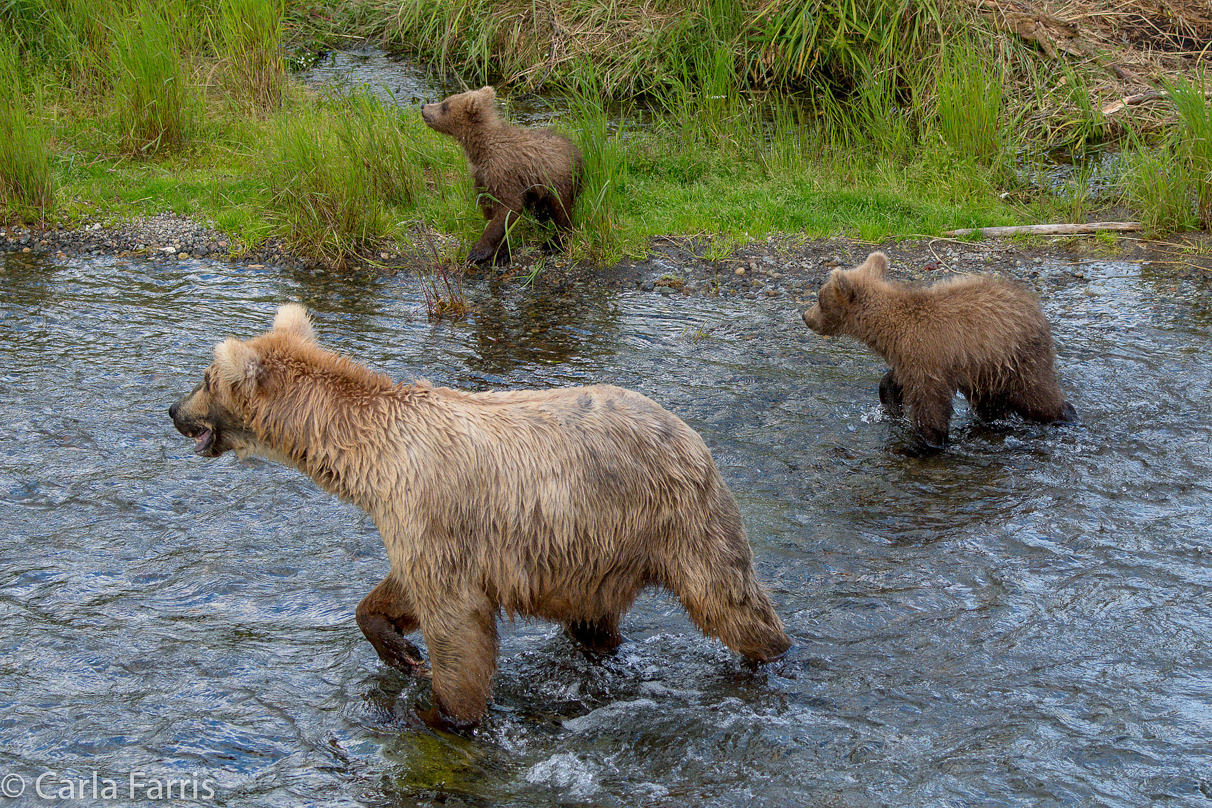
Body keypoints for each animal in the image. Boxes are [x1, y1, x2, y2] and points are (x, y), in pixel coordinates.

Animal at [173, 306, 795, 731]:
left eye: (204, 377)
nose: (174, 411)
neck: (371, 461)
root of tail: (691, 433)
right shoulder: (417, 525)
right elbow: (399, 590)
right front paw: (399, 649)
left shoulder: (432, 509)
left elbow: (458, 624)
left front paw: (442, 712)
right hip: (597, 553)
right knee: (596, 623)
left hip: (675, 517)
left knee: (729, 598)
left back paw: (768, 658)